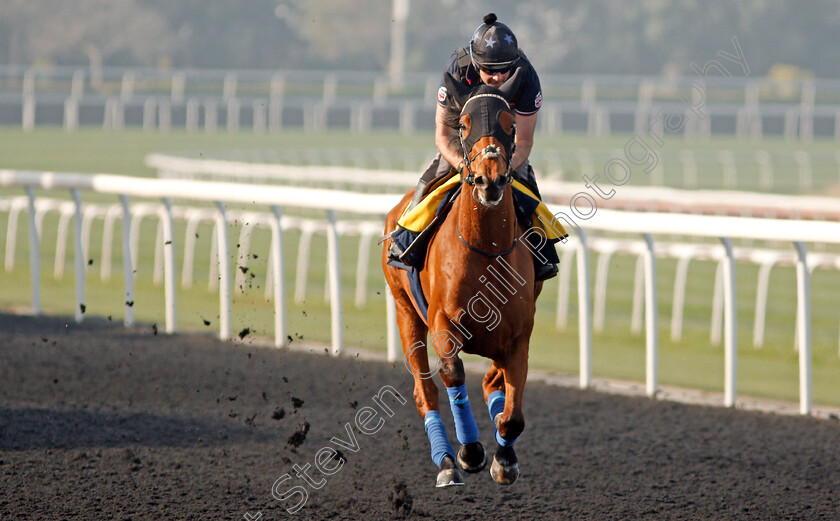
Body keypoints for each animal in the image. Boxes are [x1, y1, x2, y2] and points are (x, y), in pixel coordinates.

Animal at [378, 71, 540, 486]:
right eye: (464, 124)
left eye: (510, 124)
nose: (490, 180)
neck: (485, 249)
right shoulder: (442, 322)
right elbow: (453, 374)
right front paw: (470, 452)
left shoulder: (519, 335)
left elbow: (513, 414)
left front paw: (505, 459)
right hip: (405, 311)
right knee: (425, 392)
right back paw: (448, 461)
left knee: (491, 384)